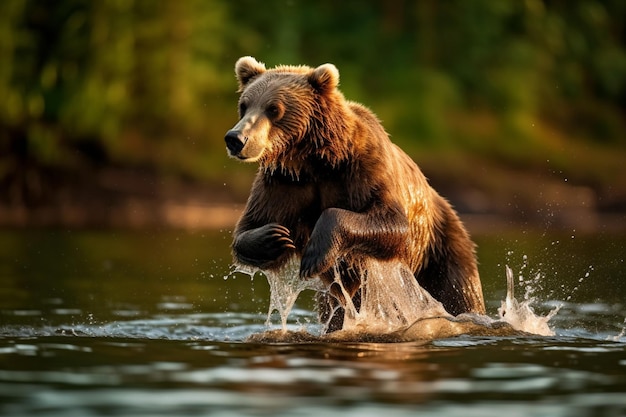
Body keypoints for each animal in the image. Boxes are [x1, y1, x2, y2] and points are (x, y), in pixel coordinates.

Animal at [223, 57, 482, 332]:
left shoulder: (364, 168)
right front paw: (275, 237)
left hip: (442, 247)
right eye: (244, 105)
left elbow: (393, 224)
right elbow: (247, 229)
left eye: (274, 109)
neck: (313, 160)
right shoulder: (283, 185)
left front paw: (315, 251)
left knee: (458, 292)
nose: (236, 139)